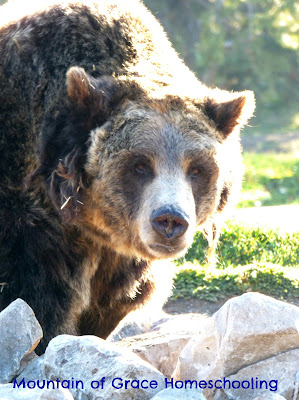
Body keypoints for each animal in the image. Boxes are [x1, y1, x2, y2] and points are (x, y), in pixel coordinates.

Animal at [0, 0, 255, 352]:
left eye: (197, 168)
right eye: (140, 165)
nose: (170, 221)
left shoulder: (120, 262)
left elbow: (115, 300)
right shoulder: (29, 225)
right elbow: (36, 298)